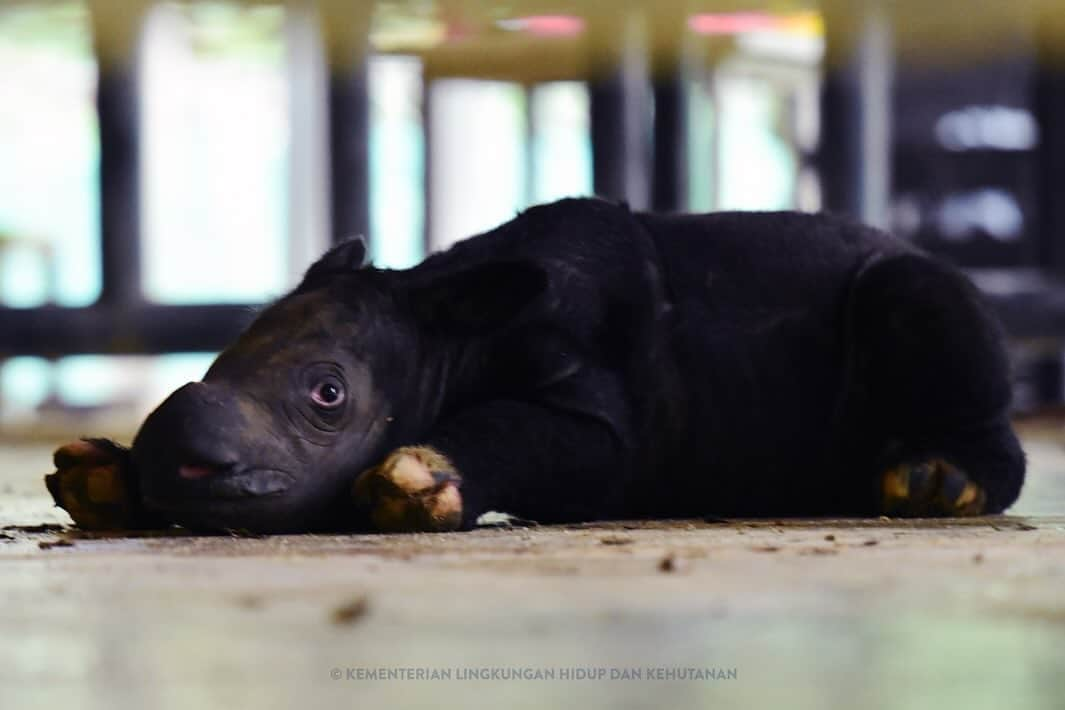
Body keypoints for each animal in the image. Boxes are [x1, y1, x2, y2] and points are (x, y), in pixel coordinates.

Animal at [47, 195, 1022, 532]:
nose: (176, 463)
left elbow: (553, 435)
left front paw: (419, 481)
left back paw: (935, 481)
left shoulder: (600, 411)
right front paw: (102, 479)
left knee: (915, 295)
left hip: (909, 283)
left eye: (328, 395)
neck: (447, 324)